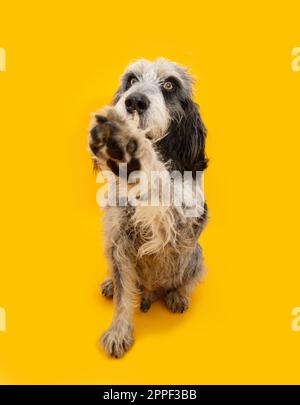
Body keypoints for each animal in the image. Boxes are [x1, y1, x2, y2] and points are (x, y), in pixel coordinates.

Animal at [88, 57, 207, 356]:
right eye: (131, 80)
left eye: (169, 85)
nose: (135, 101)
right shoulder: (117, 238)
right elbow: (123, 297)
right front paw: (119, 332)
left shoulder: (178, 228)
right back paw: (111, 283)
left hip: (197, 255)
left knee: (188, 279)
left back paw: (178, 295)